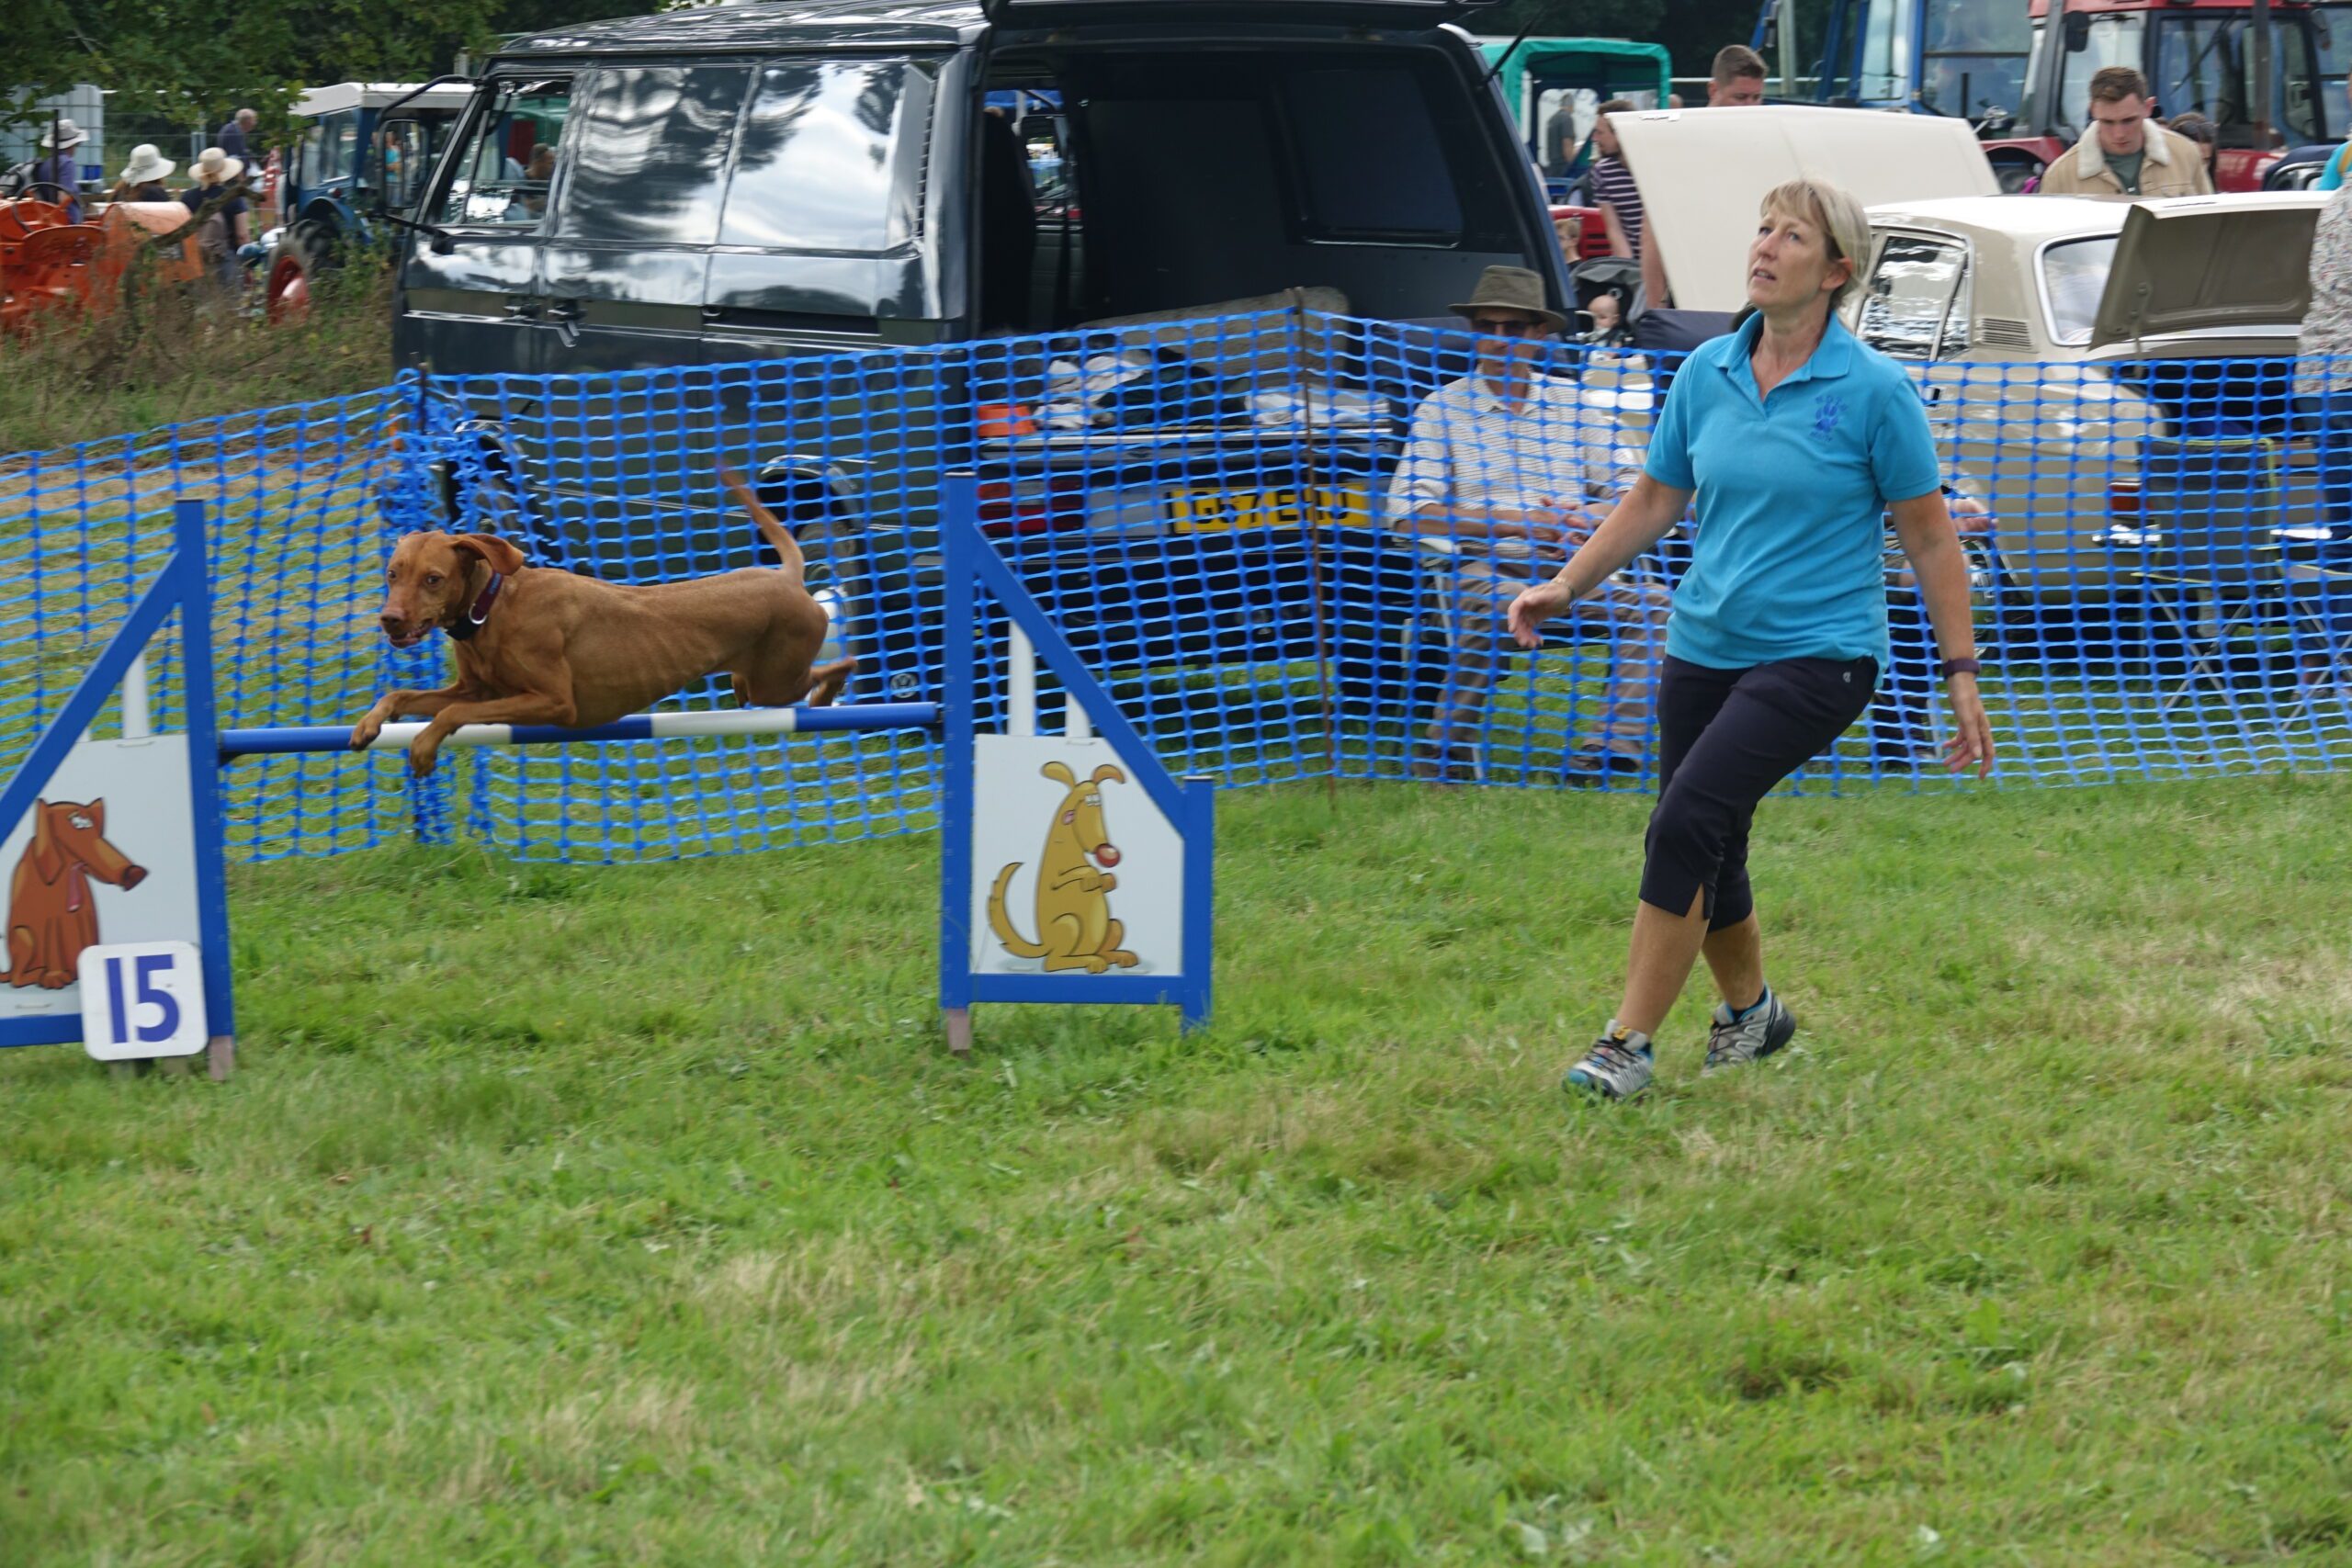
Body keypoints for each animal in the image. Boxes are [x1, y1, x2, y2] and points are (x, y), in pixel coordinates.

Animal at [353, 472, 851, 780]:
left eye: (433, 579)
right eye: (393, 574)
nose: (390, 619)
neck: (490, 609)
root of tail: (786, 576)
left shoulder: (554, 703)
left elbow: (450, 714)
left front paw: (422, 747)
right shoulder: (478, 691)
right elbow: (403, 696)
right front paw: (368, 725)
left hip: (778, 681)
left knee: (840, 665)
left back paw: (826, 695)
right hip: (762, 682)